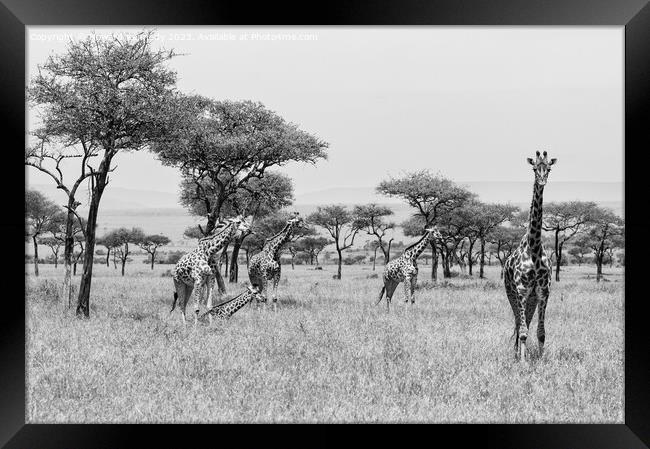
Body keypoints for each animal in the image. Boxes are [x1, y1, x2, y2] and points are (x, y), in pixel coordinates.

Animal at [502, 150, 556, 360]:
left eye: (548, 168)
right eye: (534, 168)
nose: (542, 181)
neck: (534, 248)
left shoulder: (542, 292)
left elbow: (541, 332)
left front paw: (541, 360)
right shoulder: (522, 290)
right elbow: (524, 331)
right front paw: (524, 362)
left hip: (531, 299)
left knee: (525, 323)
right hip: (511, 293)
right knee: (518, 324)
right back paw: (516, 355)